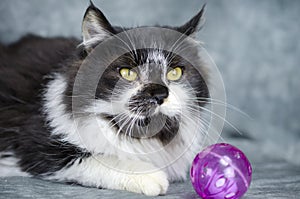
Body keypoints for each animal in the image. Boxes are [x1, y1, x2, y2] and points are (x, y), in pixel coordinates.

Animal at [0, 1, 210, 196]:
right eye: (127, 73)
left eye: (175, 73)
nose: (159, 94)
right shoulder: (38, 144)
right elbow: (97, 157)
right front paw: (150, 176)